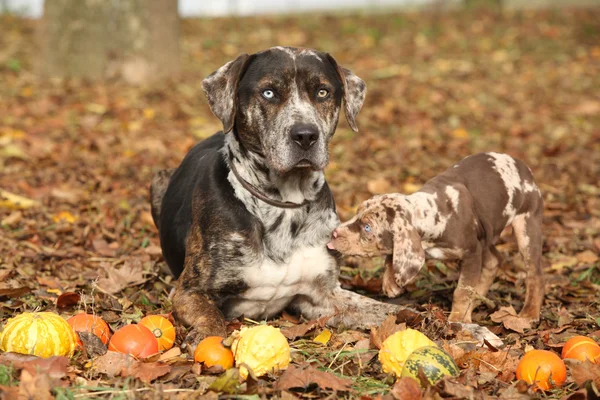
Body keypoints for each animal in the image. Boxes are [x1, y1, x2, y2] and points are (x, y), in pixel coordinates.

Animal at [150, 47, 502, 346]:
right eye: (268, 92)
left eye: (322, 92)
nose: (305, 135)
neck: (283, 203)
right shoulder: (189, 292)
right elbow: (212, 322)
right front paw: (206, 340)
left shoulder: (324, 296)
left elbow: (401, 313)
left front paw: (462, 328)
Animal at [328, 152, 544, 324]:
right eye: (356, 212)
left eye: (367, 228)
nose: (334, 233)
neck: (431, 213)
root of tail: (522, 165)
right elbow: (394, 254)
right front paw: (390, 281)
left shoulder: (472, 253)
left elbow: (462, 290)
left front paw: (458, 318)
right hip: (486, 232)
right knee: (494, 260)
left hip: (526, 226)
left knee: (534, 274)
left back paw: (529, 312)